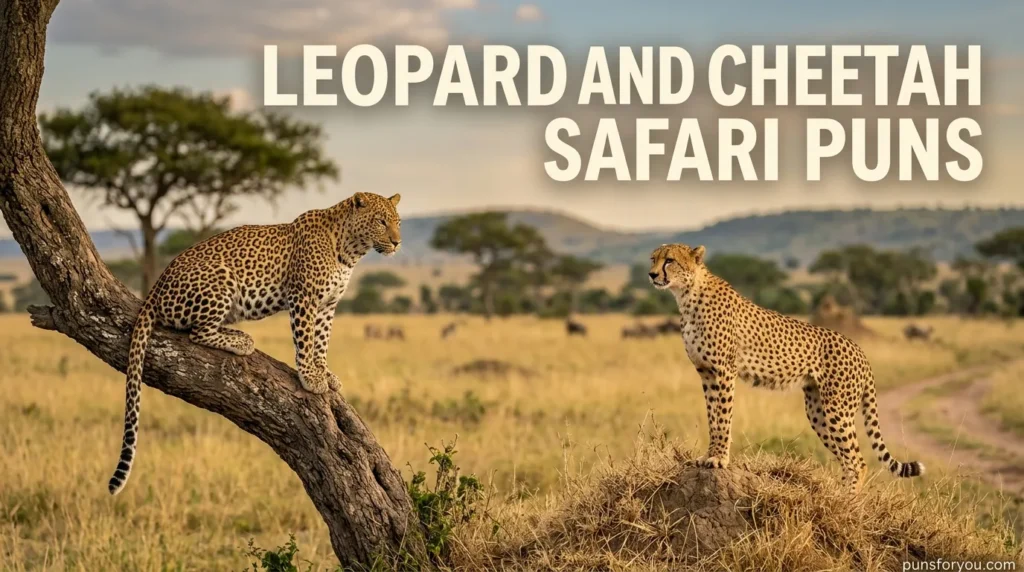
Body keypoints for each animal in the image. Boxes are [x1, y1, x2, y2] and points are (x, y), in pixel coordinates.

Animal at [107, 191, 402, 495]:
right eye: (381, 222)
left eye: (398, 222)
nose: (397, 242)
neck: (350, 250)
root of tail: (155, 288)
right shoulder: (303, 297)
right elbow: (305, 340)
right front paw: (310, 377)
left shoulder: (327, 305)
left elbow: (321, 341)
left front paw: (324, 372)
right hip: (221, 278)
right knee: (197, 332)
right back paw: (241, 341)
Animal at [648, 243, 923, 492]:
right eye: (654, 258)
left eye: (669, 260)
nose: (651, 274)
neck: (687, 294)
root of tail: (859, 349)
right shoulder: (706, 372)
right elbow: (712, 416)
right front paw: (709, 456)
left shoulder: (724, 371)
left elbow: (723, 416)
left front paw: (719, 458)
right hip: (817, 410)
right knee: (848, 458)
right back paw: (838, 496)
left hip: (838, 409)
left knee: (858, 461)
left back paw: (849, 502)